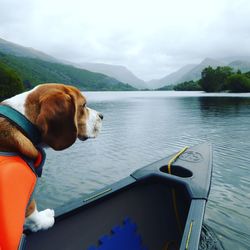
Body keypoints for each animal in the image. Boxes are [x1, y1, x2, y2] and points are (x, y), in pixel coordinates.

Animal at [0, 84, 102, 238]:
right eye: (83, 105)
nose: (102, 116)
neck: (22, 120)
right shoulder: (26, 198)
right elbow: (33, 213)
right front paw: (46, 219)